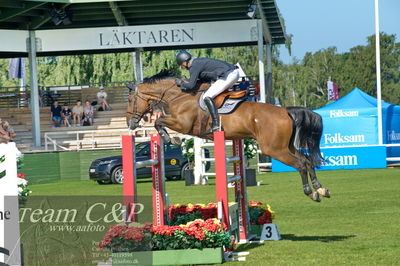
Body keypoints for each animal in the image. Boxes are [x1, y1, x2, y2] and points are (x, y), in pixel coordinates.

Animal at [127, 70, 332, 202]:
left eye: (129, 100)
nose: (130, 123)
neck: (178, 95)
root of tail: (285, 111)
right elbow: (160, 122)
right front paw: (171, 138)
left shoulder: (182, 123)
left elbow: (159, 122)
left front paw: (170, 139)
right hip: (285, 146)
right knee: (306, 160)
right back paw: (321, 189)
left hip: (274, 149)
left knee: (300, 164)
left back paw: (311, 192)